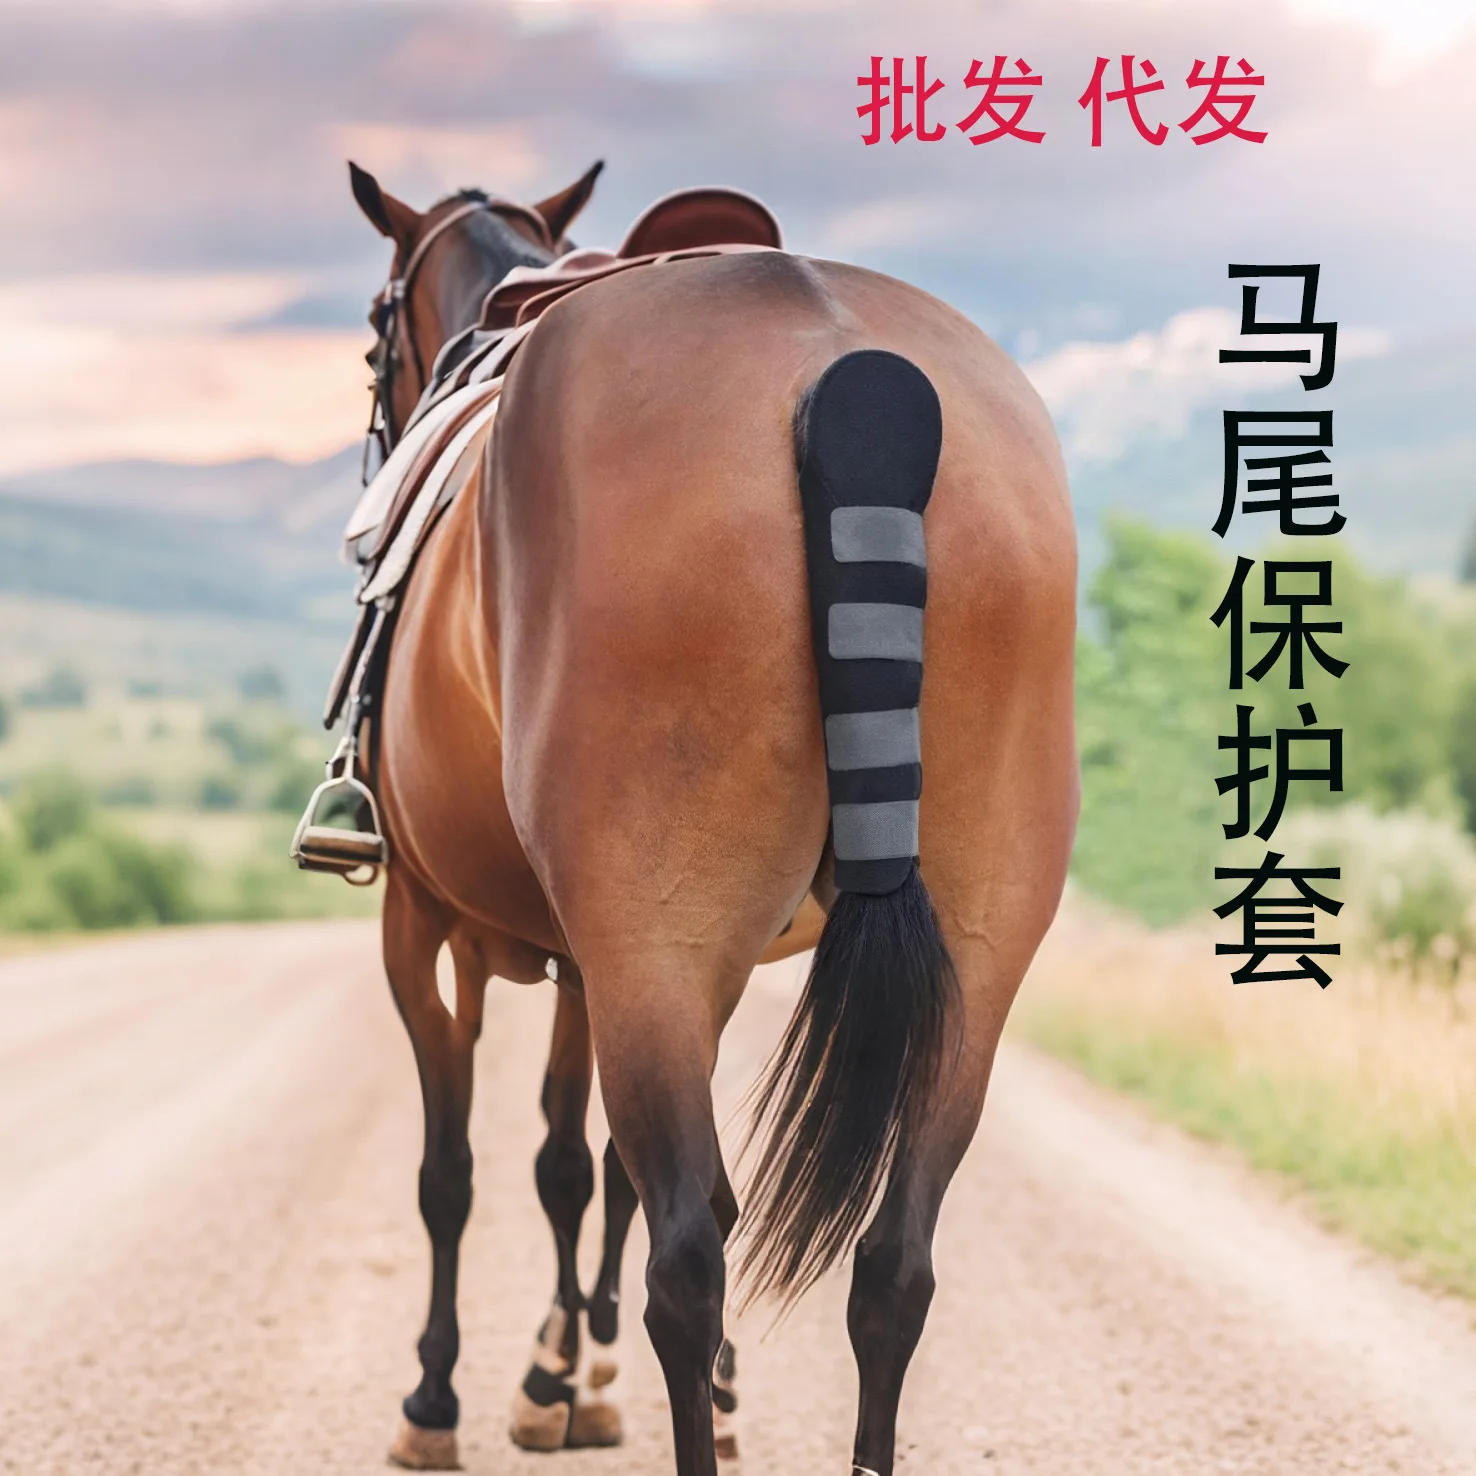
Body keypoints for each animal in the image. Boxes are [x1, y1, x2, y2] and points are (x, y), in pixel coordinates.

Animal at [345, 159, 1077, 1476]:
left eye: (378, 331)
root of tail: (853, 372)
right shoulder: (608, 959)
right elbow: (572, 1162)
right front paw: (566, 1369)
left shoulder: (432, 928)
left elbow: (462, 1172)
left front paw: (448, 1394)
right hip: (973, 948)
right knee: (893, 1264)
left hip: (651, 938)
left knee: (688, 1252)